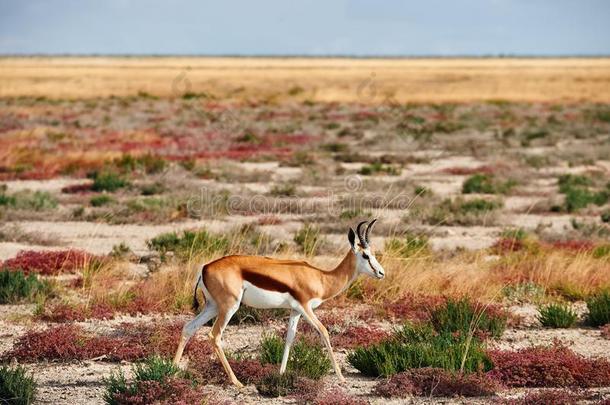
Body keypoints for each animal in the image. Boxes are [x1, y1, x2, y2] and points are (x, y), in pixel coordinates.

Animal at [171, 218, 382, 386]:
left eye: (373, 253)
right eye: (365, 255)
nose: (381, 273)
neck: (322, 278)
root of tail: (205, 268)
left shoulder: (295, 311)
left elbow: (289, 338)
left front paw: (280, 374)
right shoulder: (306, 307)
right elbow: (323, 331)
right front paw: (341, 377)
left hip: (213, 307)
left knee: (188, 328)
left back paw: (171, 371)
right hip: (229, 307)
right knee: (215, 335)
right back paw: (237, 382)